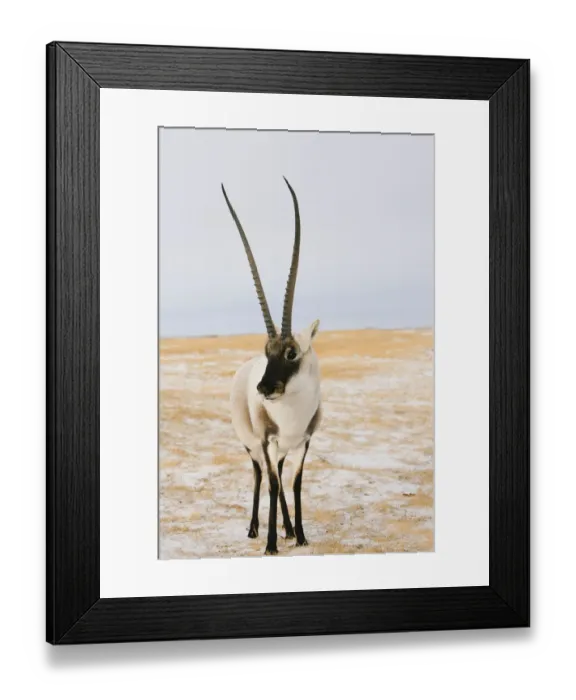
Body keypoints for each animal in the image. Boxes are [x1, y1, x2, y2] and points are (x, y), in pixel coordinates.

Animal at [221, 177, 322, 556]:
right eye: (268, 352)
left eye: (291, 353)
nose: (265, 389)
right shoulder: (266, 441)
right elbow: (274, 485)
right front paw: (270, 545)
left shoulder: (304, 441)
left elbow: (295, 484)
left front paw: (301, 535)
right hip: (251, 443)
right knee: (260, 474)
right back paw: (254, 529)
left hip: (282, 448)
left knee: (277, 474)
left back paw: (289, 528)